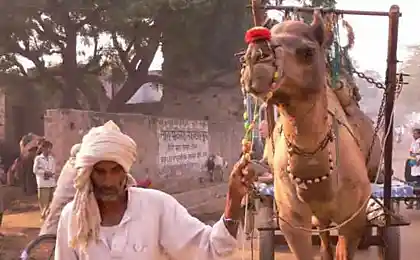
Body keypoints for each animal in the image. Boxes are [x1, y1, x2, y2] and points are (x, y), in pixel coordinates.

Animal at [236, 9, 380, 258]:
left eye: (307, 52)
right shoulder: (291, 220)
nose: (254, 56)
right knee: (322, 229)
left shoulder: (354, 217)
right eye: (245, 57)